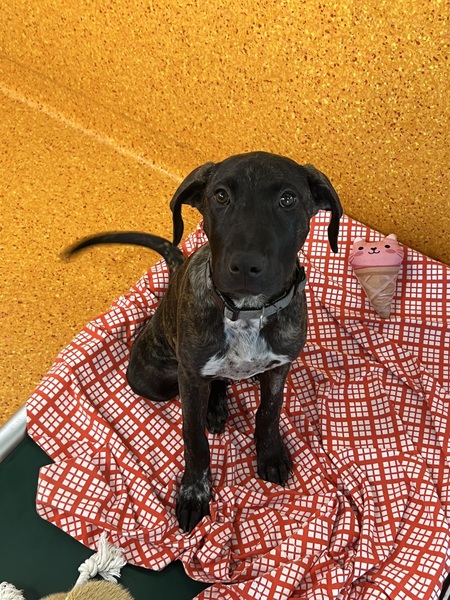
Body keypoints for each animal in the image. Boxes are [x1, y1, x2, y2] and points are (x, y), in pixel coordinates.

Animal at [65, 151, 343, 532]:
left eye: (288, 199)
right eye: (220, 196)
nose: (245, 265)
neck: (246, 311)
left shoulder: (280, 367)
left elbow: (269, 412)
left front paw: (270, 453)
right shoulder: (191, 378)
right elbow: (194, 436)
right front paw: (194, 491)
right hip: (152, 381)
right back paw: (214, 405)